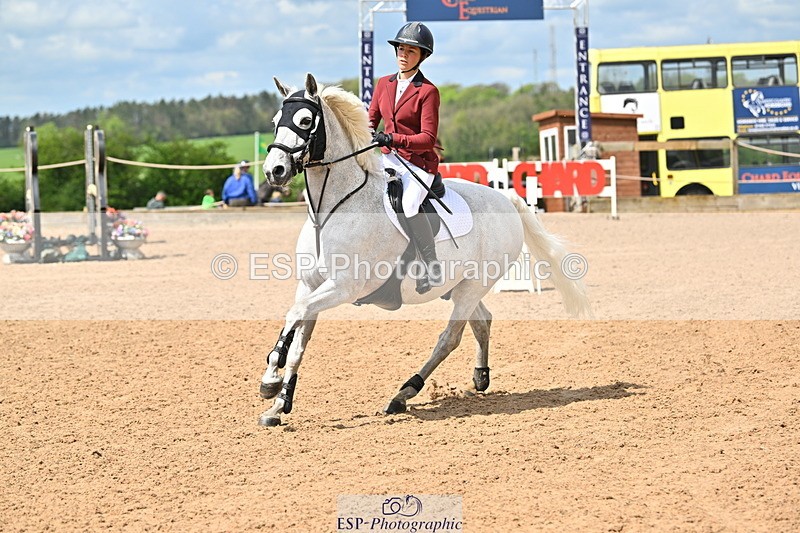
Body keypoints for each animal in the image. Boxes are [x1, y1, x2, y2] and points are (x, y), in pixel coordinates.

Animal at [258, 73, 591, 427]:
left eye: (306, 121)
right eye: (276, 122)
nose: (273, 171)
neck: (334, 207)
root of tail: (506, 198)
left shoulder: (344, 287)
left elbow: (295, 315)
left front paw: (271, 378)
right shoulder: (310, 285)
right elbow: (299, 337)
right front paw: (278, 402)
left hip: (473, 287)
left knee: (450, 338)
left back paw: (403, 394)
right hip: (463, 286)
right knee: (482, 321)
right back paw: (480, 377)